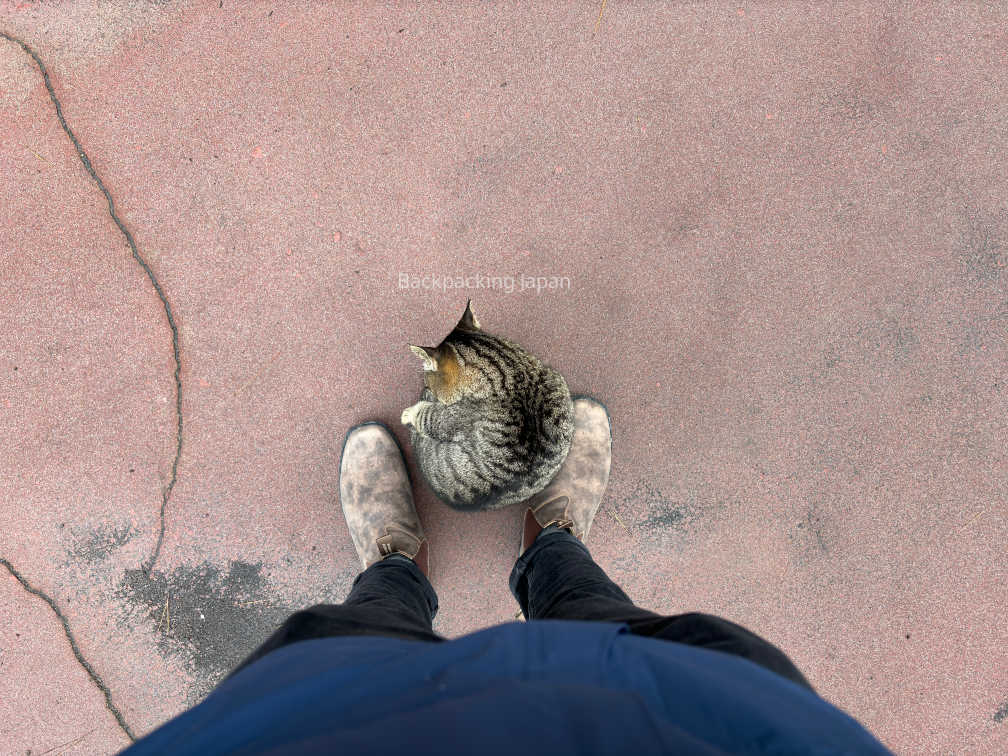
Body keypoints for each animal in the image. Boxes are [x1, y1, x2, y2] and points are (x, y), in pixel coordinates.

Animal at [401, 304, 576, 512]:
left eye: (428, 384)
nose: (425, 387)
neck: (512, 374)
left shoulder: (446, 419)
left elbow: (425, 416)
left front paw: (409, 413)